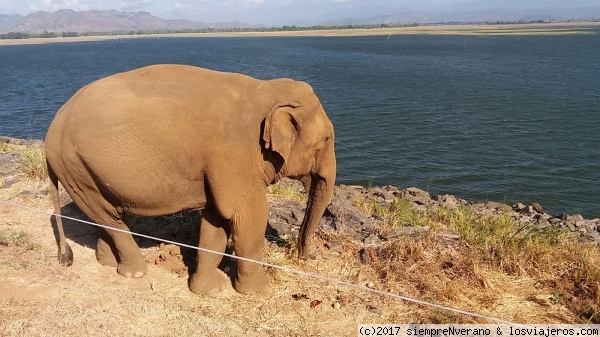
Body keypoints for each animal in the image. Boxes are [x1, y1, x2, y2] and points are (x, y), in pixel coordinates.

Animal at [45, 63, 338, 294]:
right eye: (326, 139)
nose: (302, 256)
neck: (265, 90)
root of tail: (52, 127)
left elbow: (216, 221)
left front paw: (208, 291)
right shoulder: (233, 155)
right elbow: (246, 217)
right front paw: (259, 291)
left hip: (82, 170)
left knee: (106, 214)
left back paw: (107, 263)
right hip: (73, 166)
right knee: (109, 217)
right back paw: (136, 272)